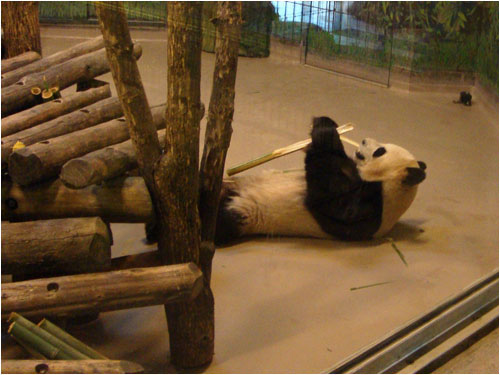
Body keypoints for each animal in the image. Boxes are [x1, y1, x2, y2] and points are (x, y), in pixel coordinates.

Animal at [215, 117, 426, 247]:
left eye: (380, 151)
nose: (364, 140)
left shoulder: (371, 209)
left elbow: (332, 201)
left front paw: (325, 131)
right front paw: (327, 125)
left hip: (248, 215)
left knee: (222, 223)